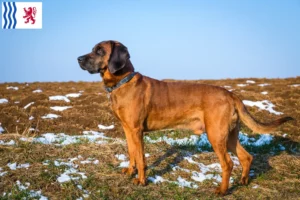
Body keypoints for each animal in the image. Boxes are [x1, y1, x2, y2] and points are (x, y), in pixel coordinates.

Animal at [78, 39, 292, 195]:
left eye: (100, 51)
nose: (78, 58)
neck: (123, 81)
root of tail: (231, 94)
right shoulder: (128, 129)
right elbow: (132, 153)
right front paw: (130, 172)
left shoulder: (137, 131)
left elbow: (141, 157)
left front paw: (141, 180)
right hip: (229, 135)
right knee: (246, 157)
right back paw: (244, 181)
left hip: (215, 135)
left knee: (228, 163)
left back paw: (222, 190)